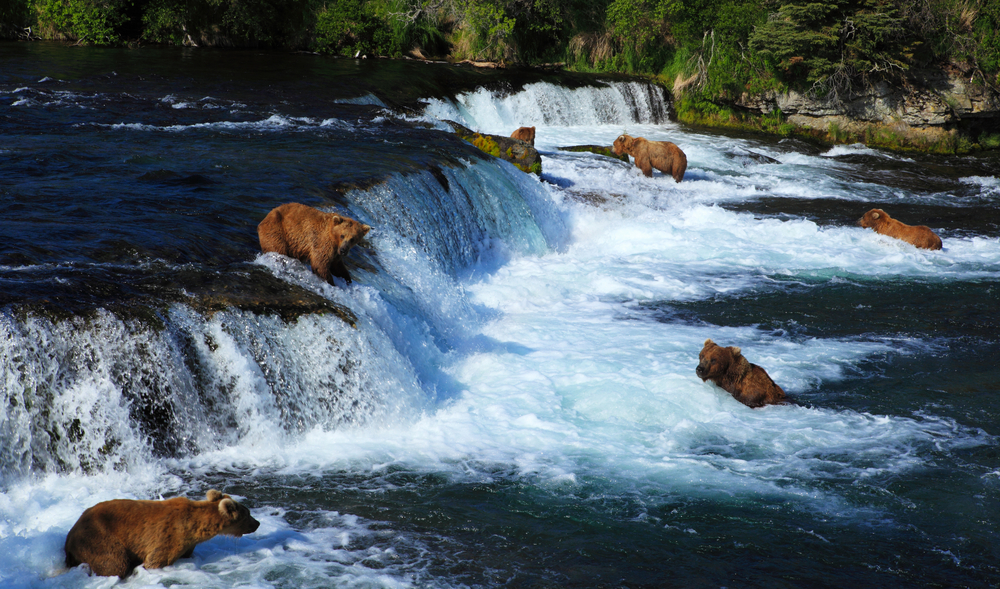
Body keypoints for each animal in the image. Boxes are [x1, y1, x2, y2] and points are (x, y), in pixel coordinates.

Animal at [65, 486, 260, 580]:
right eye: (248, 513)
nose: (257, 523)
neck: (195, 526)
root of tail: (69, 536)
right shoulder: (170, 536)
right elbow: (156, 560)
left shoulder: (189, 544)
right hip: (97, 537)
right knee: (114, 562)